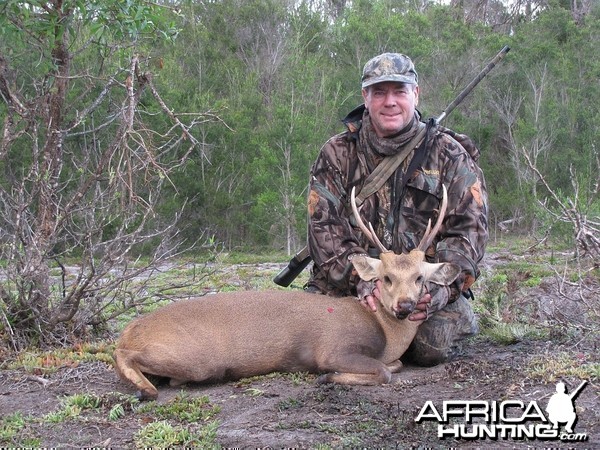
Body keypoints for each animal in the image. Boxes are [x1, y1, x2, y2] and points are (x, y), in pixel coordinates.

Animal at [113, 185, 460, 400]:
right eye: (386, 278)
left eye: (419, 278)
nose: (405, 305)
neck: (385, 333)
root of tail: (129, 329)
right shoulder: (334, 348)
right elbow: (383, 371)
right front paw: (328, 377)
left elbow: (394, 366)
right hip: (196, 358)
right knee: (125, 356)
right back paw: (146, 389)